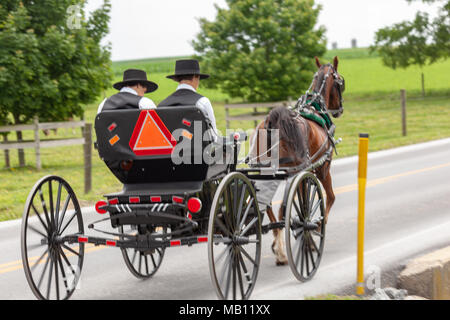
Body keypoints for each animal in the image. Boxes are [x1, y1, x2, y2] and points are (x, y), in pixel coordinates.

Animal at [250, 57, 344, 264]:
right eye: (341, 82)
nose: (339, 110)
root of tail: (270, 121)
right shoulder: (322, 169)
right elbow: (328, 198)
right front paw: (316, 229)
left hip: (266, 172)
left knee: (268, 206)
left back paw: (279, 247)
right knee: (281, 208)